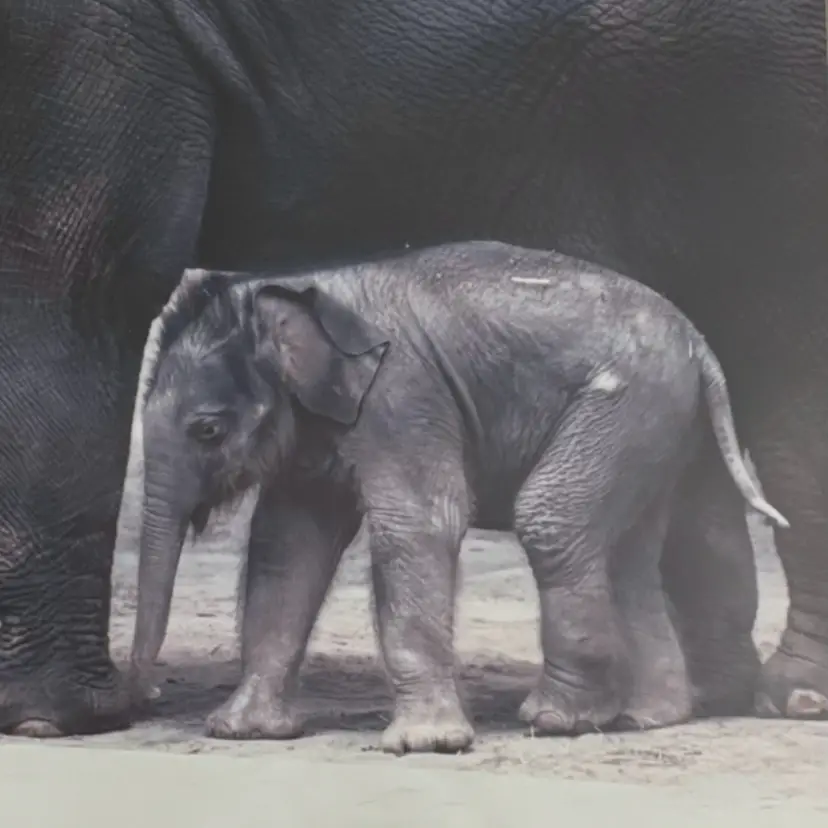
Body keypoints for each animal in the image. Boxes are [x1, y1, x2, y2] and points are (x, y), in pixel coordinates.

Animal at [127, 246, 787, 754]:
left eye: (207, 430)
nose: (151, 695)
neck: (297, 289)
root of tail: (699, 342)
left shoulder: (403, 395)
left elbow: (418, 524)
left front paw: (422, 745)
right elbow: (287, 546)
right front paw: (241, 733)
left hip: (626, 405)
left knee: (551, 517)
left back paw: (556, 719)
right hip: (656, 420)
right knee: (628, 553)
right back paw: (646, 718)